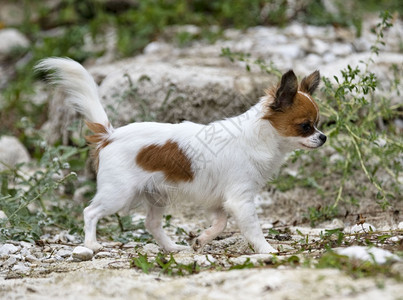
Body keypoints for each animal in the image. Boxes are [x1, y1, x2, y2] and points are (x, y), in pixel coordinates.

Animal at [35, 56, 328, 253]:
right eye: (305, 126)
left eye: (318, 124)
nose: (323, 137)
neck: (259, 137)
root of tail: (109, 135)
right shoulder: (240, 199)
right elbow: (252, 229)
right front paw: (267, 250)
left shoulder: (221, 201)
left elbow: (221, 224)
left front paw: (201, 239)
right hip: (118, 195)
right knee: (90, 212)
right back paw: (91, 243)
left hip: (156, 195)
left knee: (152, 224)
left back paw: (172, 248)